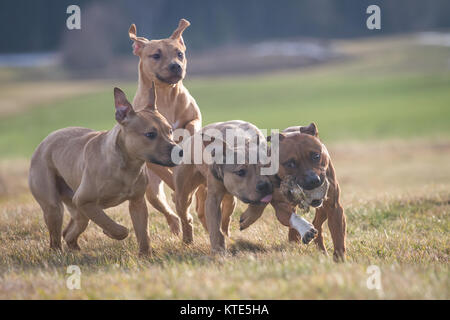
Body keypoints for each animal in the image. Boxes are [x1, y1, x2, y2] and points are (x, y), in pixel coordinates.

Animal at [27, 84, 179, 255]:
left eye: (170, 131)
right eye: (150, 134)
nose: (179, 151)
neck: (127, 165)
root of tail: (43, 142)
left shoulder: (137, 203)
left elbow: (143, 232)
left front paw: (145, 255)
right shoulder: (84, 200)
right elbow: (116, 227)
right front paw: (111, 232)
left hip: (78, 212)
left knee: (69, 232)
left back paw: (75, 250)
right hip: (53, 207)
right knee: (55, 239)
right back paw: (58, 253)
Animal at [172, 120, 272, 252]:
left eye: (266, 167)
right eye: (241, 172)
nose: (264, 186)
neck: (239, 141)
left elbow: (263, 202)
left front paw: (248, 218)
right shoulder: (213, 198)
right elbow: (215, 227)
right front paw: (218, 249)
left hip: (230, 198)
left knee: (226, 216)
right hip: (183, 195)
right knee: (186, 217)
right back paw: (188, 240)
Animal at [241, 124, 346, 262]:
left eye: (316, 156)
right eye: (290, 163)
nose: (313, 180)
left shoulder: (334, 207)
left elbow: (338, 235)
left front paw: (340, 259)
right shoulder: (281, 207)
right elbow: (292, 218)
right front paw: (304, 231)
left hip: (323, 208)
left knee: (317, 223)